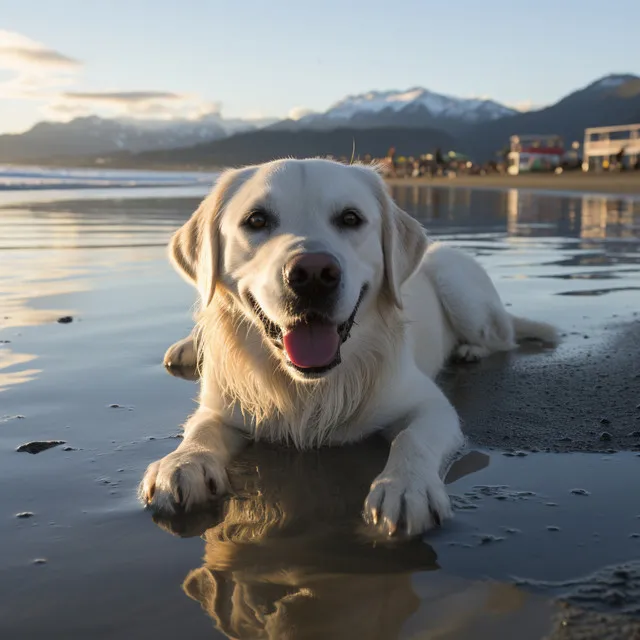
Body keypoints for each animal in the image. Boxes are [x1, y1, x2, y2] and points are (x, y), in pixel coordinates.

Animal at [139, 158, 556, 536]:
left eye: (350, 218)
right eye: (256, 220)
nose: (312, 274)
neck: (308, 388)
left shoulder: (431, 405)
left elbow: (412, 438)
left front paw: (406, 487)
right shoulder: (222, 403)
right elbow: (201, 429)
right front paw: (182, 464)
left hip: (458, 284)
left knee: (502, 337)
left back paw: (470, 350)